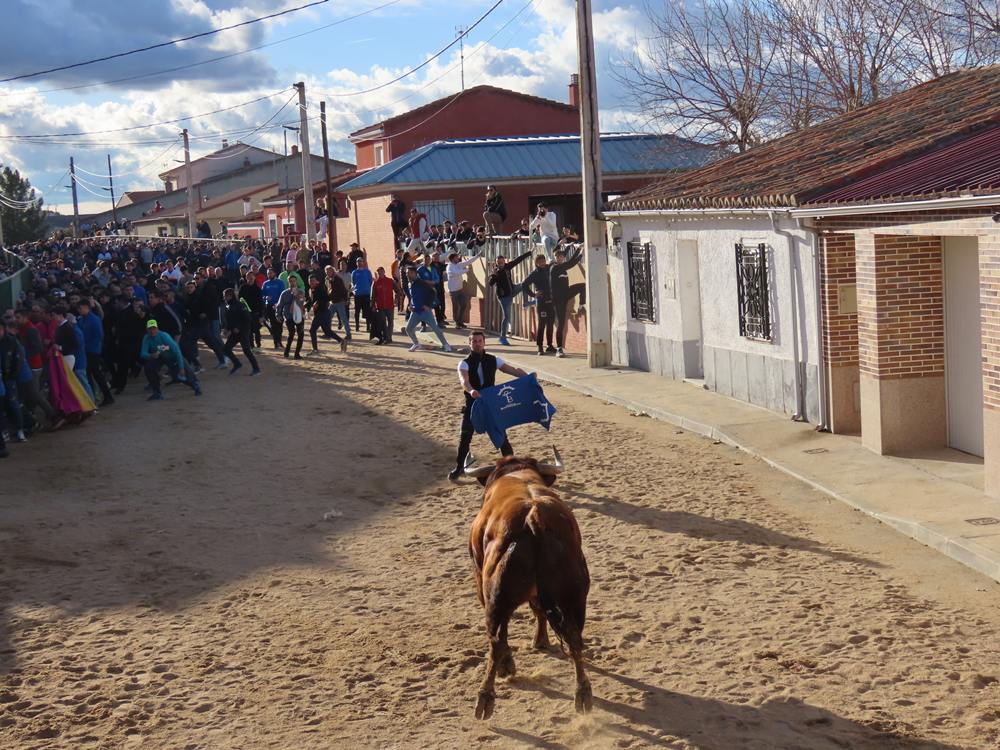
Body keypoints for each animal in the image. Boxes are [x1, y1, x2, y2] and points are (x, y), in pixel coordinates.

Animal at [462, 450, 588, 720]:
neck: (517, 474)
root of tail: (534, 519)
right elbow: (539, 611)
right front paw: (541, 640)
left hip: (496, 597)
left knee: (496, 639)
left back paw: (486, 696)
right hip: (575, 595)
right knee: (574, 636)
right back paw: (583, 694)